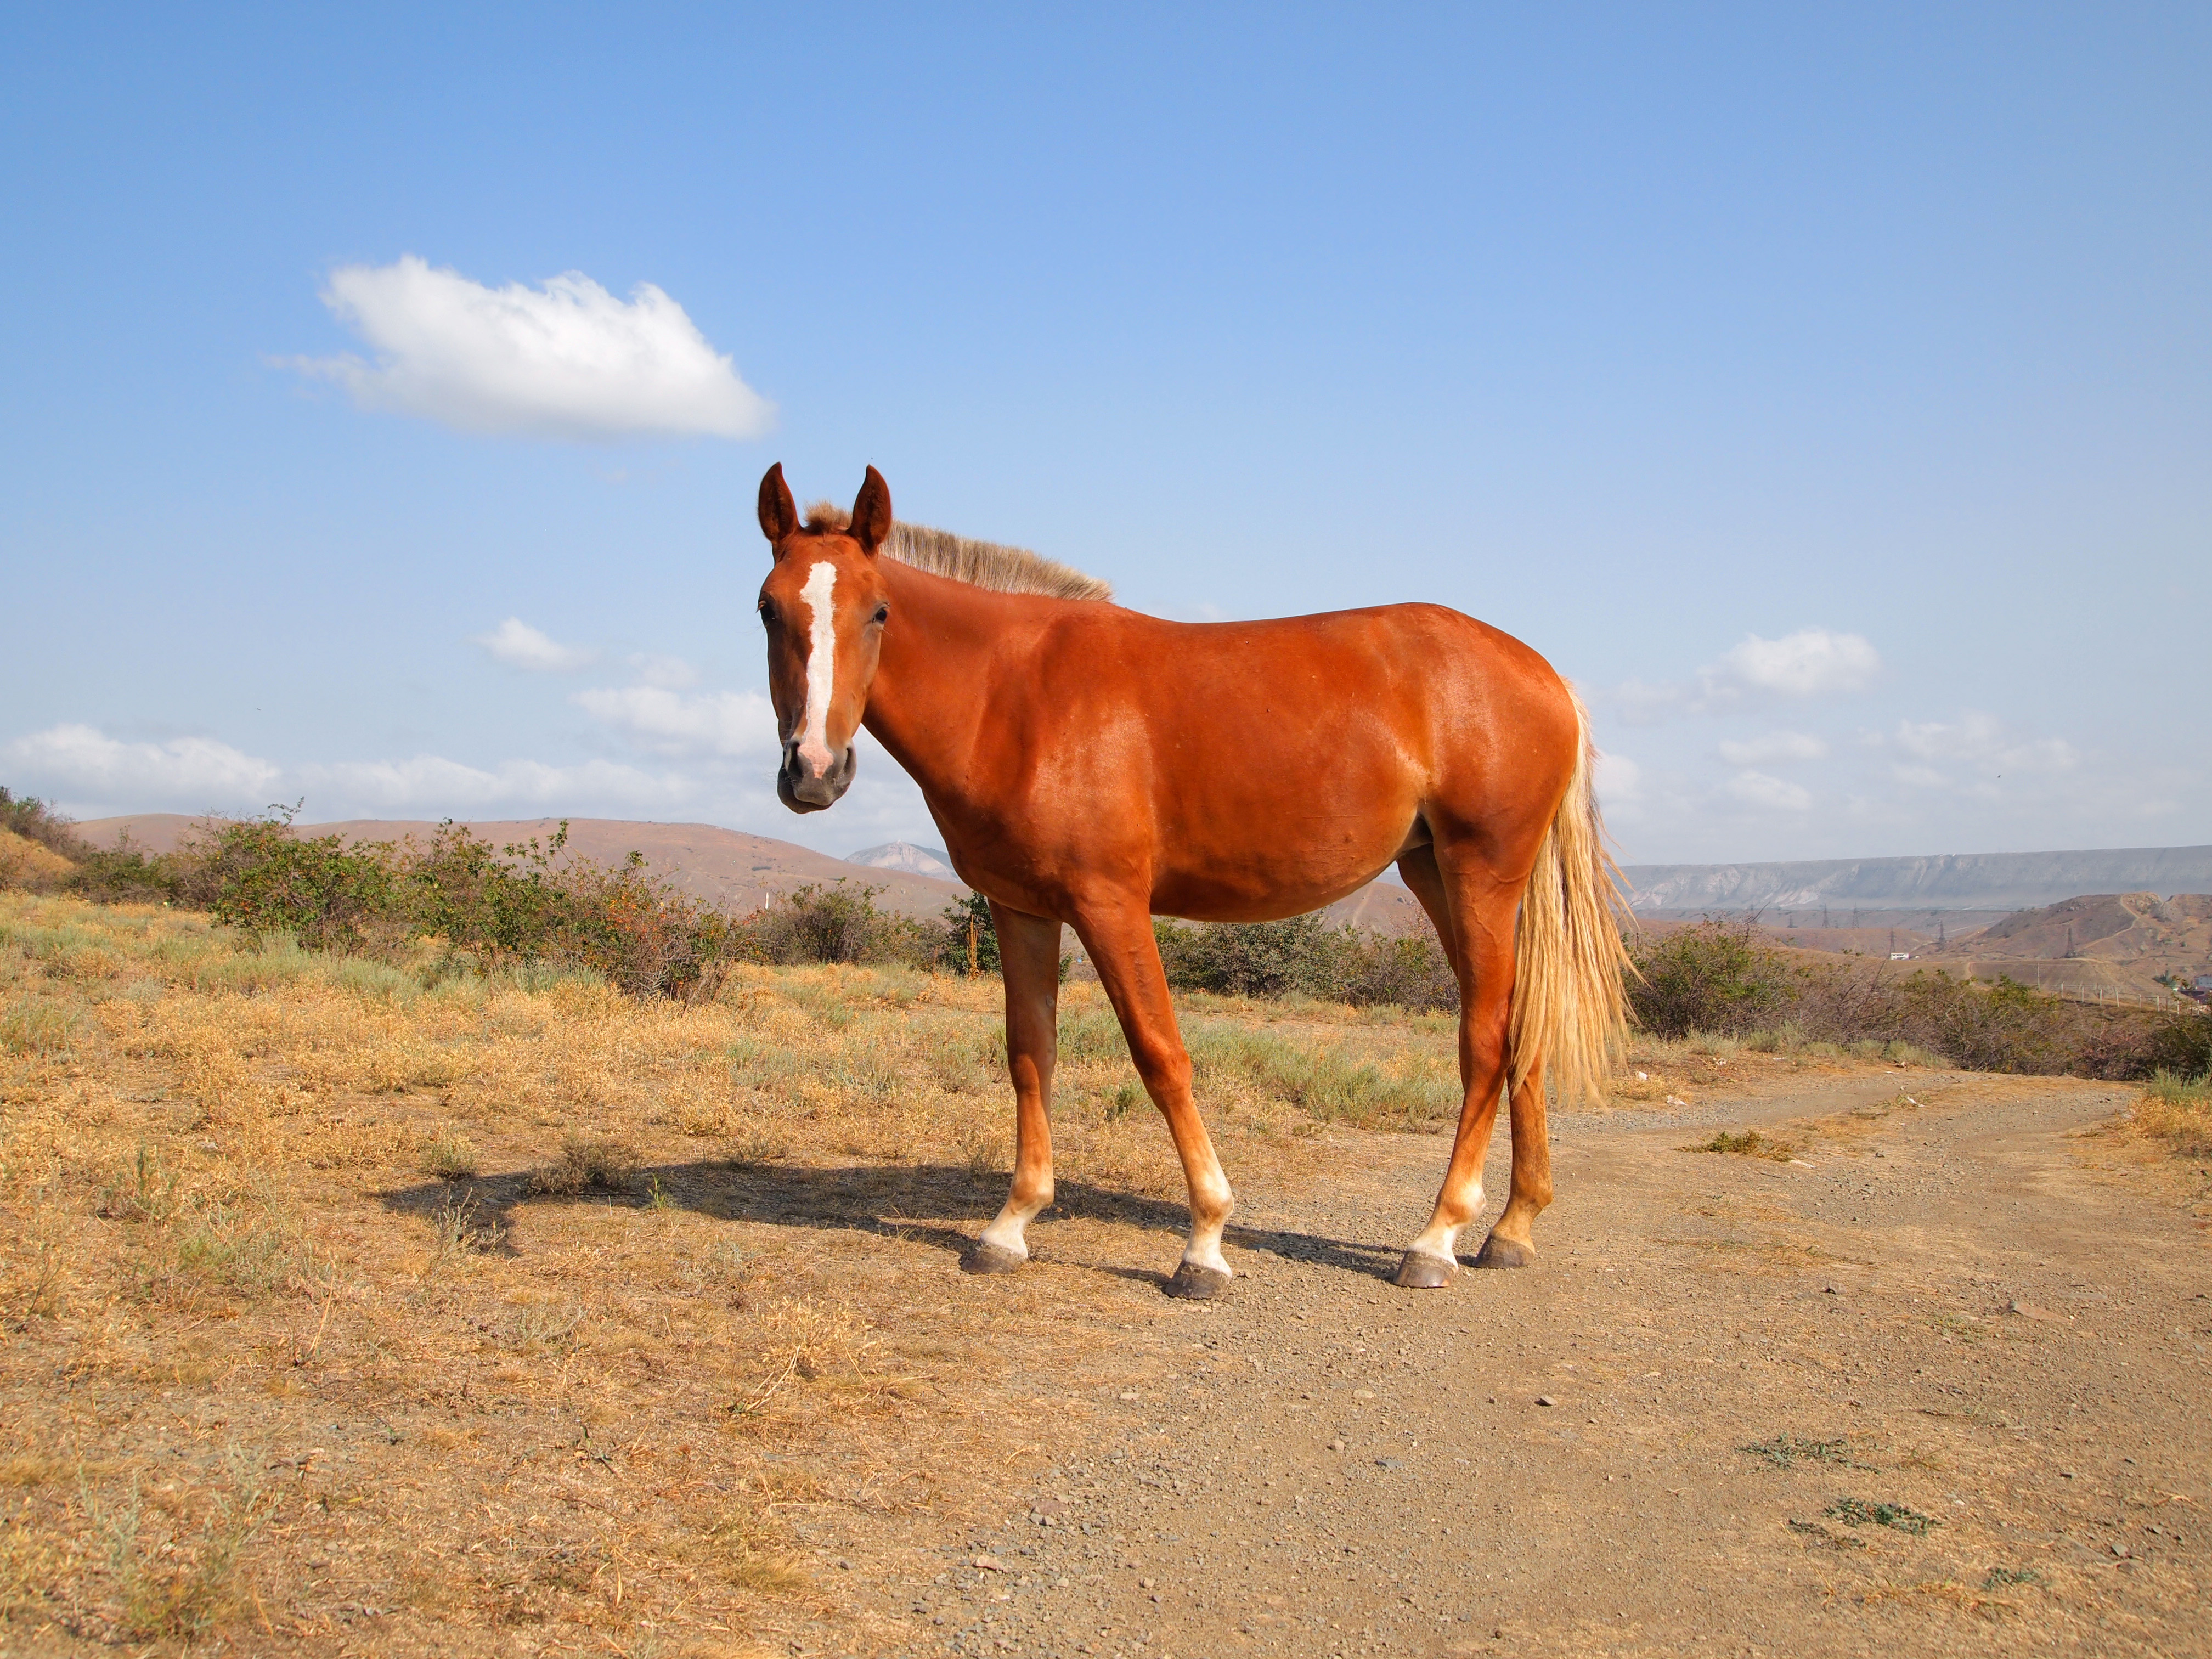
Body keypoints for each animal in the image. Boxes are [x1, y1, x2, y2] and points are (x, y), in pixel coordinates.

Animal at [753, 464, 1630, 1297]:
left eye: (879, 612)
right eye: (768, 609)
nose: (814, 772)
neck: (1014, 694)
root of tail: (1547, 677)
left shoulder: (1110, 905)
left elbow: (1161, 1054)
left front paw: (1205, 1242)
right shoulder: (1020, 909)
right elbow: (1031, 1055)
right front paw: (1009, 1227)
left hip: (1481, 877)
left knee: (1485, 1042)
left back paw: (1436, 1238)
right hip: (1438, 878)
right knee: (1523, 1035)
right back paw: (1512, 1229)